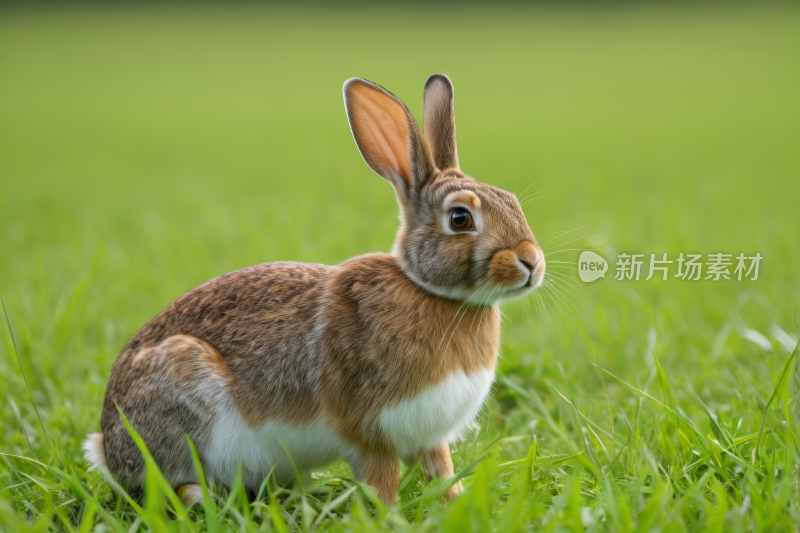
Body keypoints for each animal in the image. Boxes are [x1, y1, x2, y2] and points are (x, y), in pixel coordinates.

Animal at [84, 72, 548, 504]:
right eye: (460, 219)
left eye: (512, 202)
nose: (531, 262)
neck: (429, 290)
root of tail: (107, 446)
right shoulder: (368, 431)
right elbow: (382, 479)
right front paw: (389, 513)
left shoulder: (429, 437)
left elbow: (442, 472)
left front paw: (456, 502)